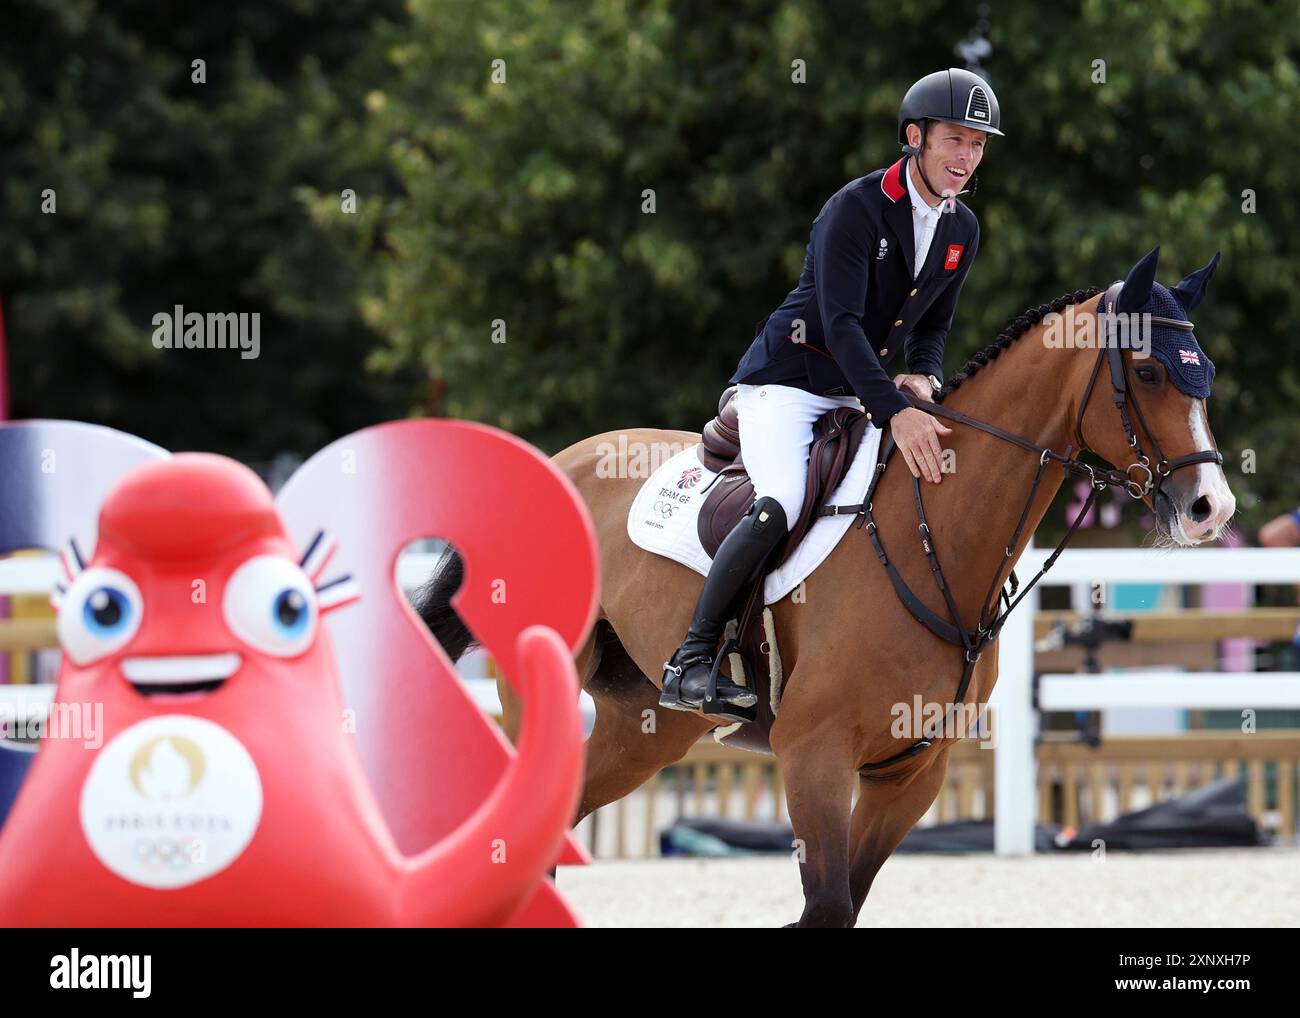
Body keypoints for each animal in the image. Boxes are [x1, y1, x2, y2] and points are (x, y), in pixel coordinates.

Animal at [418, 244, 1237, 925]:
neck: (932, 534)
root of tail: (560, 460)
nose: (1212, 509)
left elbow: (844, 907)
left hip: (645, 725)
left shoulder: (910, 771)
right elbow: (826, 907)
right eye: (1150, 371)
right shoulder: (813, 754)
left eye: (1205, 373)